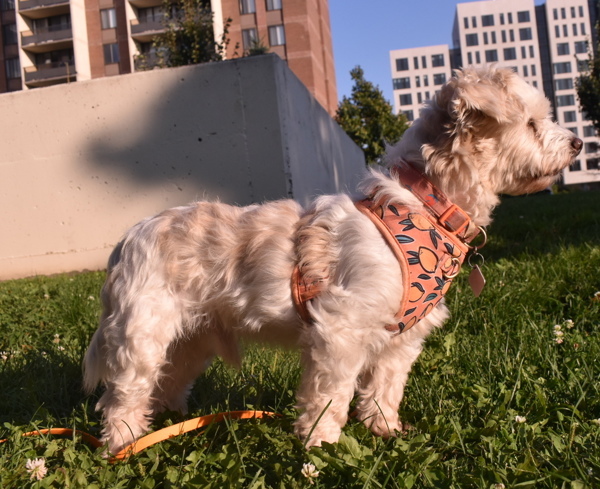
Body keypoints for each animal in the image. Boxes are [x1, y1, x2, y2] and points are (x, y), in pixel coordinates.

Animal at [83, 66, 580, 452]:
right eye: (532, 123)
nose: (577, 143)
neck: (427, 208)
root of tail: (128, 238)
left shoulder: (401, 339)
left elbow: (384, 389)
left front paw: (385, 431)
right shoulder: (341, 330)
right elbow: (330, 396)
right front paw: (320, 446)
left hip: (192, 339)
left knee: (166, 384)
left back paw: (166, 428)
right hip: (142, 331)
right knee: (124, 394)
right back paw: (123, 444)